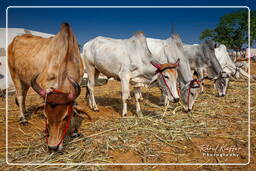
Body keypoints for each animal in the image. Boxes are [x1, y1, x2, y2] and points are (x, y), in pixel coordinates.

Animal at [7, 22, 84, 151]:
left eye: (65, 117)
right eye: (45, 116)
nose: (53, 147)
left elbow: (73, 106)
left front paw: (74, 131)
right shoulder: (44, 84)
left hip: (25, 80)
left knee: (23, 96)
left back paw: (24, 113)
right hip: (15, 75)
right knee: (20, 97)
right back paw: (23, 119)